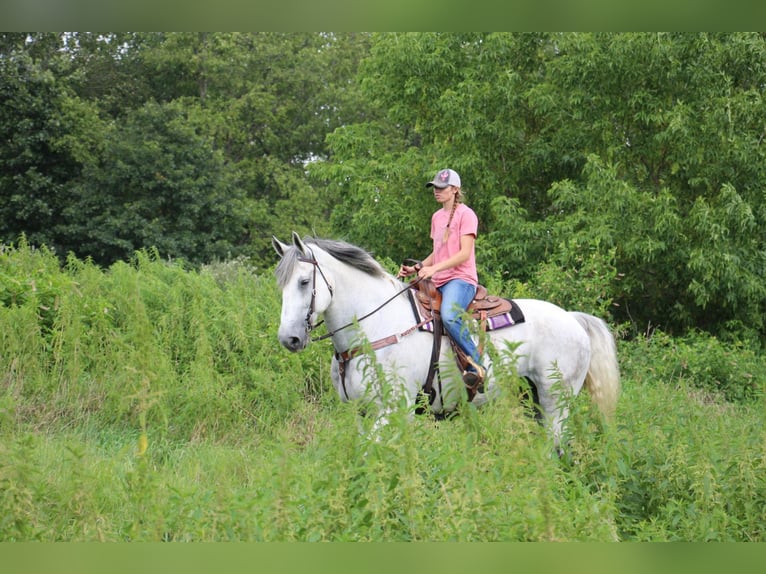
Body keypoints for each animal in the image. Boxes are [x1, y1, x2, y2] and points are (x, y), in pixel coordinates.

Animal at [272, 232, 620, 452]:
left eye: (304, 281)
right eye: (281, 285)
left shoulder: (393, 410)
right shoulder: (362, 413)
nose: (289, 338)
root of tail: (573, 319)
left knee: (556, 447)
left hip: (555, 401)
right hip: (531, 399)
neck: (374, 330)